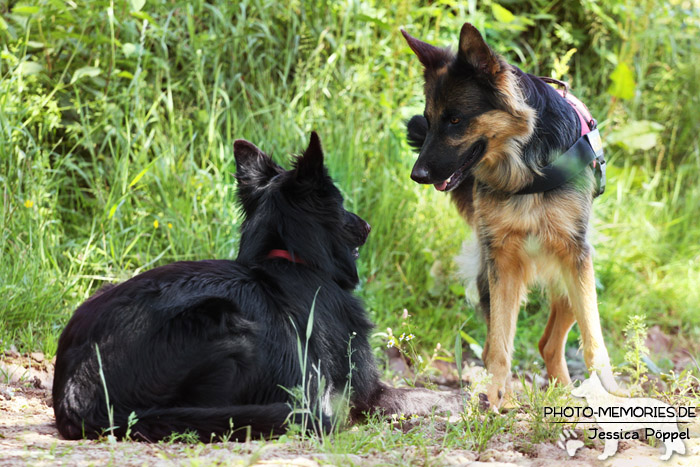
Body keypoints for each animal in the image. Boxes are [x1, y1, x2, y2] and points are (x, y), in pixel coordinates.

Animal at [53, 132, 460, 442]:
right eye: (342, 203)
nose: (367, 225)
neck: (290, 260)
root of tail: (76, 392)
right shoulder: (369, 394)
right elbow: (424, 394)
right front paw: (468, 399)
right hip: (226, 323)